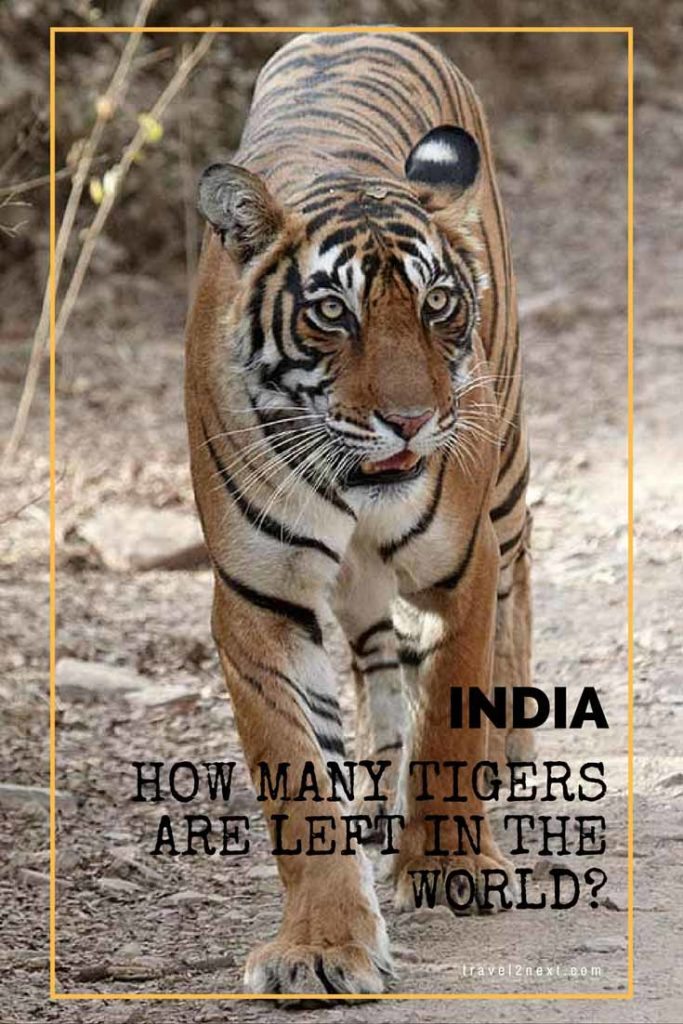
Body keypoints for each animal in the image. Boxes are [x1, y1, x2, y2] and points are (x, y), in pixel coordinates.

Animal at [185, 29, 533, 996]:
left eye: (437, 303)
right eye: (332, 313)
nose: (410, 421)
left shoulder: (460, 568)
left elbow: (450, 713)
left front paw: (449, 866)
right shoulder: (258, 598)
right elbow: (299, 776)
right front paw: (320, 947)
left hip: (507, 473)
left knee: (520, 591)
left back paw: (512, 765)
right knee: (377, 661)